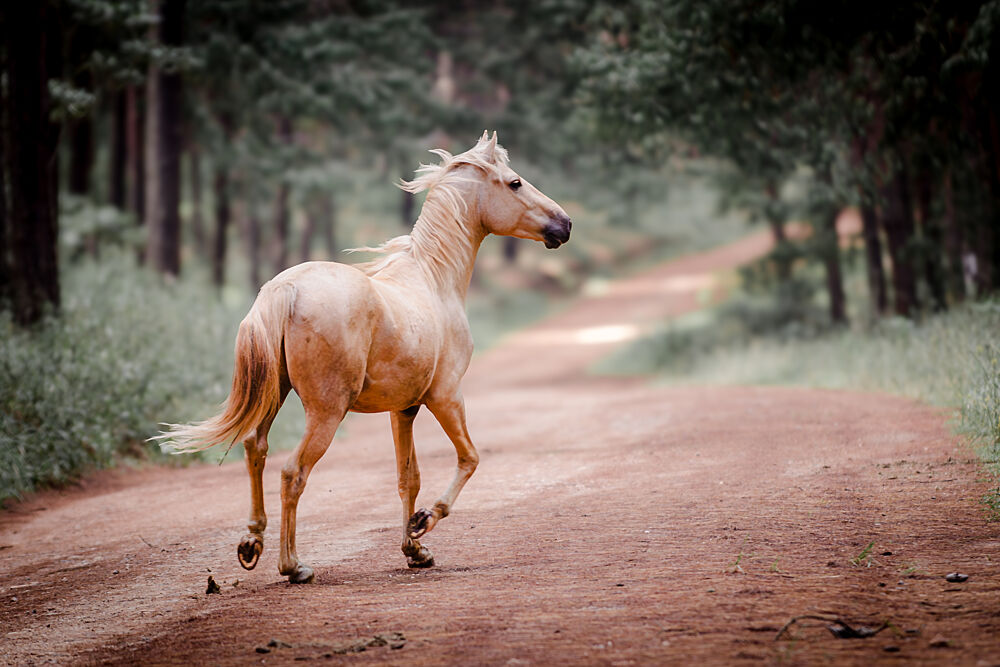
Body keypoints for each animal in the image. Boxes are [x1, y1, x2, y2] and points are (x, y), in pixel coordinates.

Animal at [160, 132, 572, 584]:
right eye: (515, 183)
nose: (565, 224)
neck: (433, 280)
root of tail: (285, 289)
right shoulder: (446, 397)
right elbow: (469, 459)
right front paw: (424, 521)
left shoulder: (404, 409)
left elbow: (408, 477)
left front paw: (415, 550)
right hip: (326, 412)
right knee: (292, 473)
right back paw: (293, 566)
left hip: (275, 394)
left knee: (256, 448)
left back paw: (252, 543)